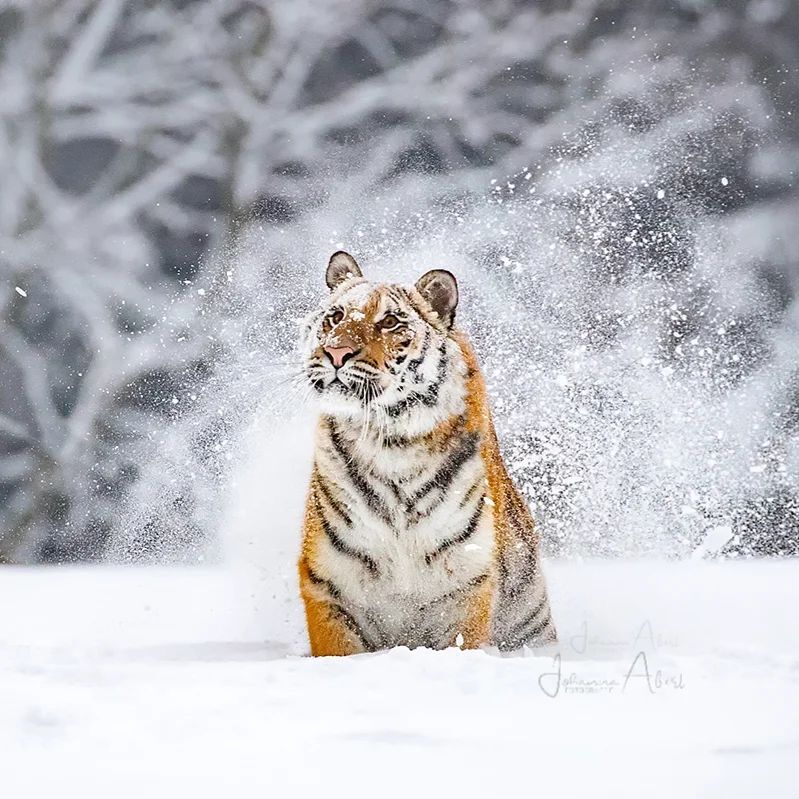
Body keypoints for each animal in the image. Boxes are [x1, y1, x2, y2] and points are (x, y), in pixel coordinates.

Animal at [296, 250, 556, 656]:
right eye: (336, 316)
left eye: (388, 321)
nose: (336, 352)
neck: (390, 441)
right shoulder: (328, 583)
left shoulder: (465, 583)